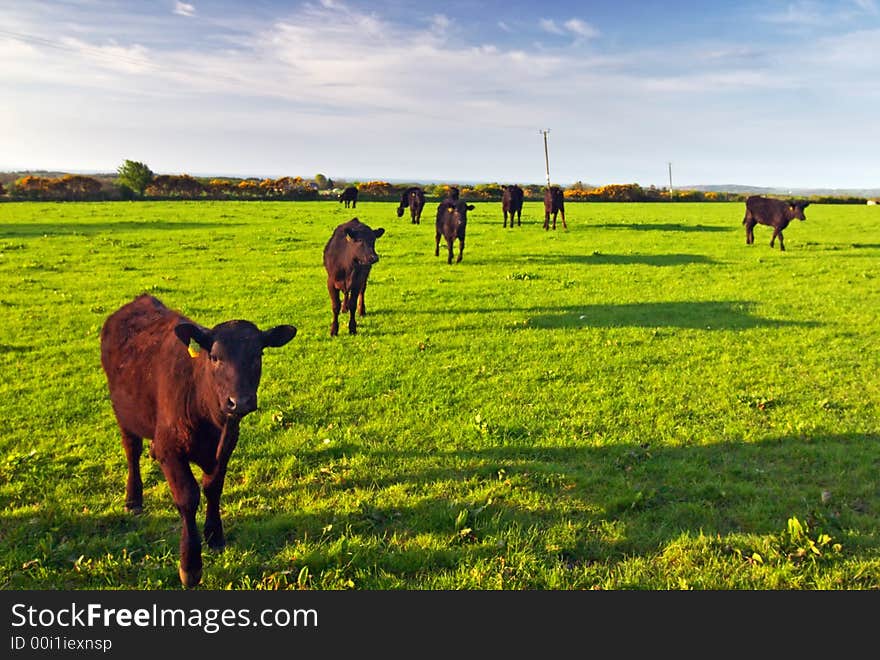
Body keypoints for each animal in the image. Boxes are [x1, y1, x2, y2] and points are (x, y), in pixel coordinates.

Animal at [101, 294, 298, 588]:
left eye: (258, 355)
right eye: (214, 357)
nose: (240, 401)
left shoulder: (226, 445)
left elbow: (213, 487)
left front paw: (215, 535)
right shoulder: (171, 449)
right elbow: (188, 496)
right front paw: (190, 565)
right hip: (124, 413)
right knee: (131, 450)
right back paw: (133, 498)